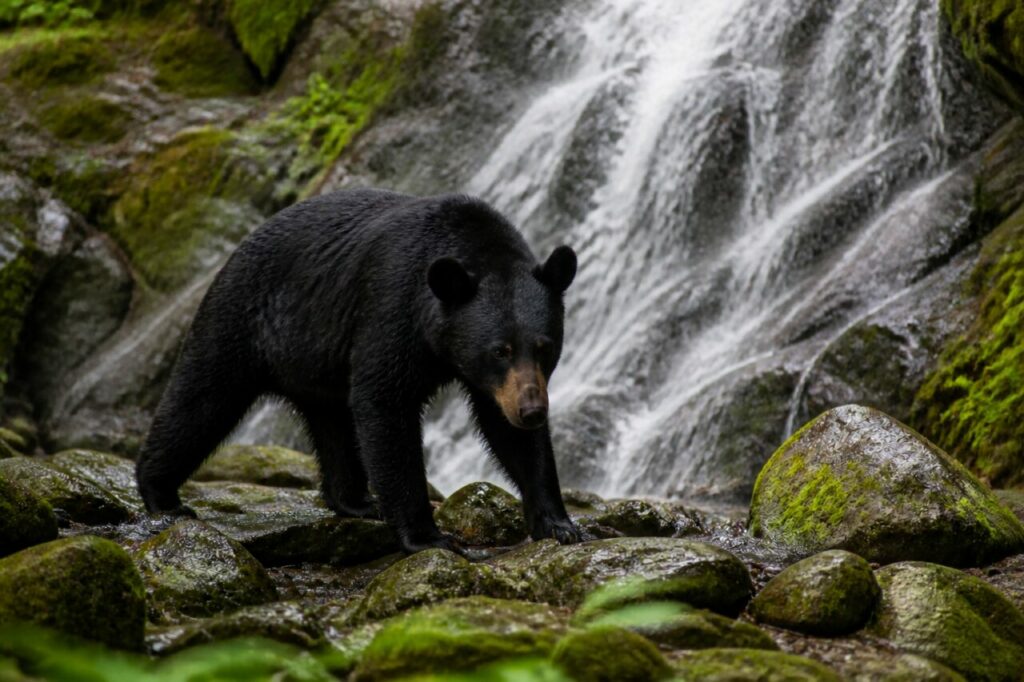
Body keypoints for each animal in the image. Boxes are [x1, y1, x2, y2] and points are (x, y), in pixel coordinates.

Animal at [135, 188, 583, 553]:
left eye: (544, 347)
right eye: (499, 350)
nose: (532, 410)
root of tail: (235, 250)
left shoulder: (498, 384)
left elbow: (511, 435)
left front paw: (559, 524)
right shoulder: (392, 310)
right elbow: (384, 405)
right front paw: (428, 537)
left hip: (316, 365)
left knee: (333, 425)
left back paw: (354, 501)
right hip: (240, 320)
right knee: (201, 400)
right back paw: (161, 494)